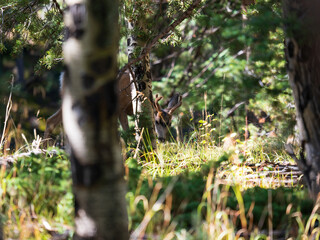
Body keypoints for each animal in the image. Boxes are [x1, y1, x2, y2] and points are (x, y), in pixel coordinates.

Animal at [44, 71, 182, 142]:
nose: (162, 139)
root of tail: (62, 75)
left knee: (51, 121)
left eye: (169, 123)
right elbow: (126, 132)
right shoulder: (120, 108)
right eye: (157, 121)